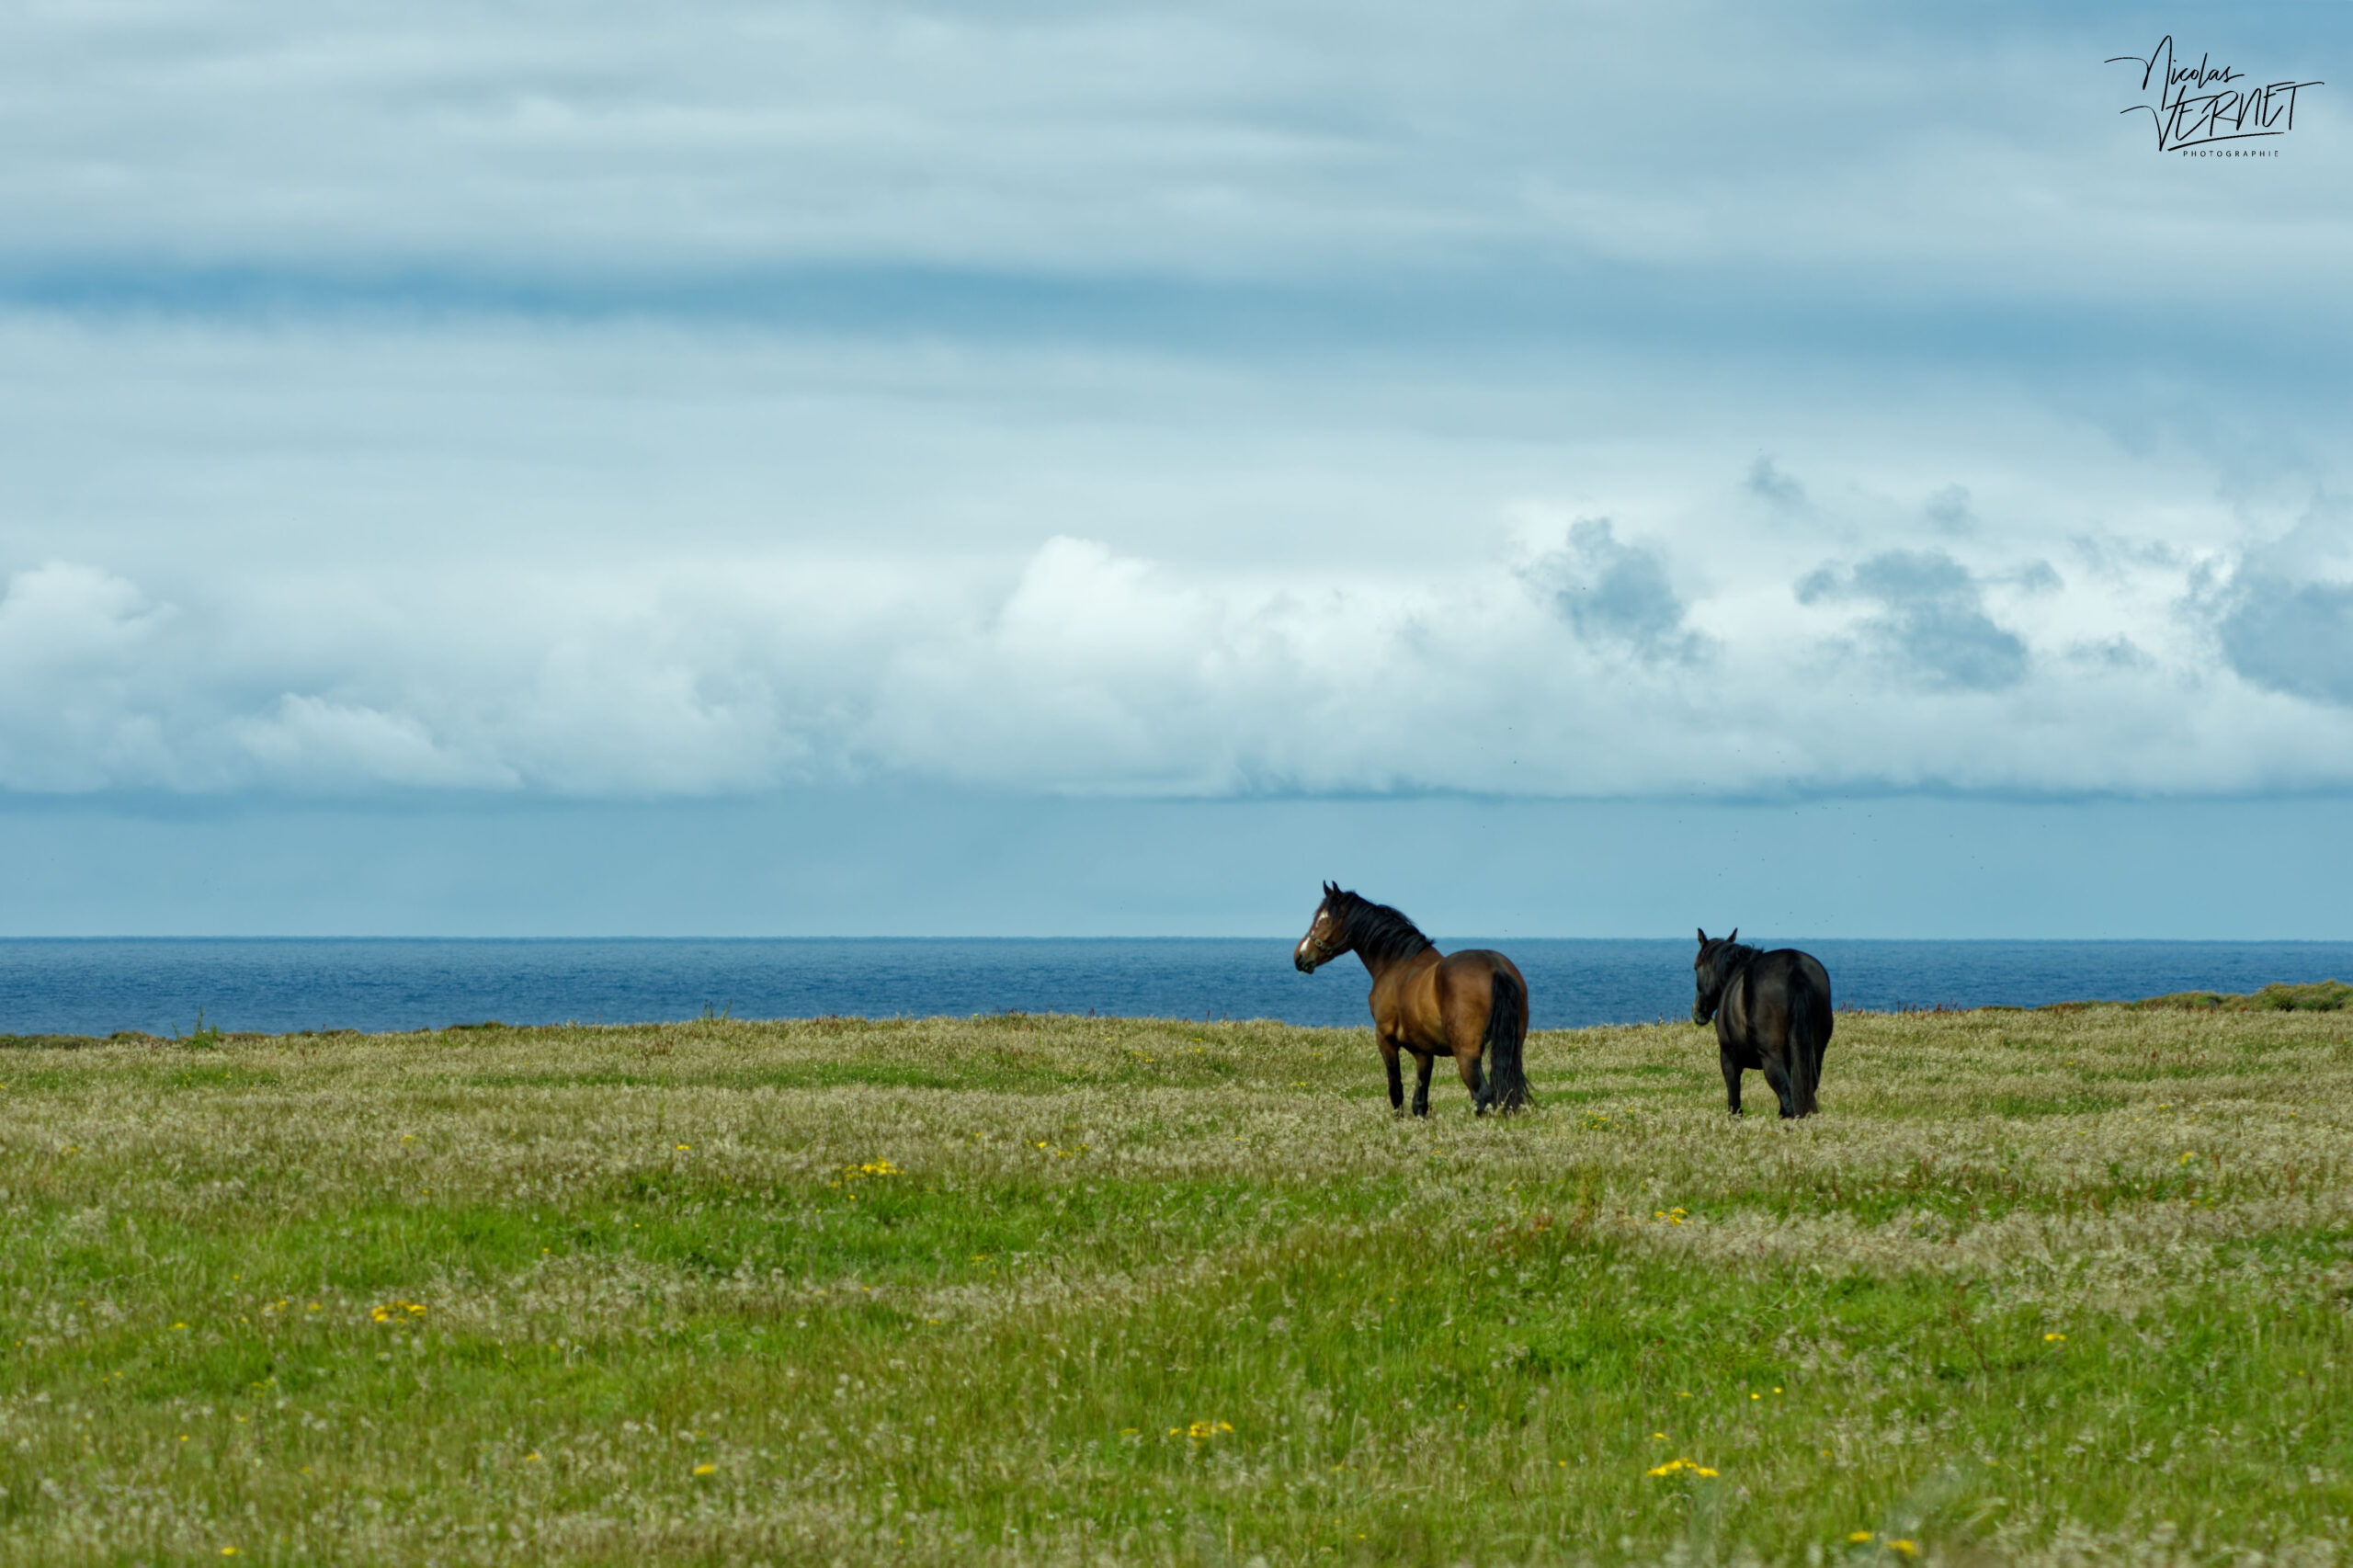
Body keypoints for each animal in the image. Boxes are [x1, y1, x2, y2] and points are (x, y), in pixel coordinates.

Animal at [1293, 882, 1531, 1115]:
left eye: (1325, 919)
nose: (1299, 956)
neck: (1397, 964)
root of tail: (1496, 968)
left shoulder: (1385, 1040)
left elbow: (1396, 1090)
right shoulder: (1423, 1052)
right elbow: (1420, 1101)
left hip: (1466, 1054)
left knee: (1482, 1096)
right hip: (1513, 1050)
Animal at [1691, 928, 1832, 1118]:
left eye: (1696, 967)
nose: (1698, 1012)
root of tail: (1794, 968)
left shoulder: (1728, 1058)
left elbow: (1734, 1105)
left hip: (1771, 1058)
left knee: (1788, 1100)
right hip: (1813, 1056)